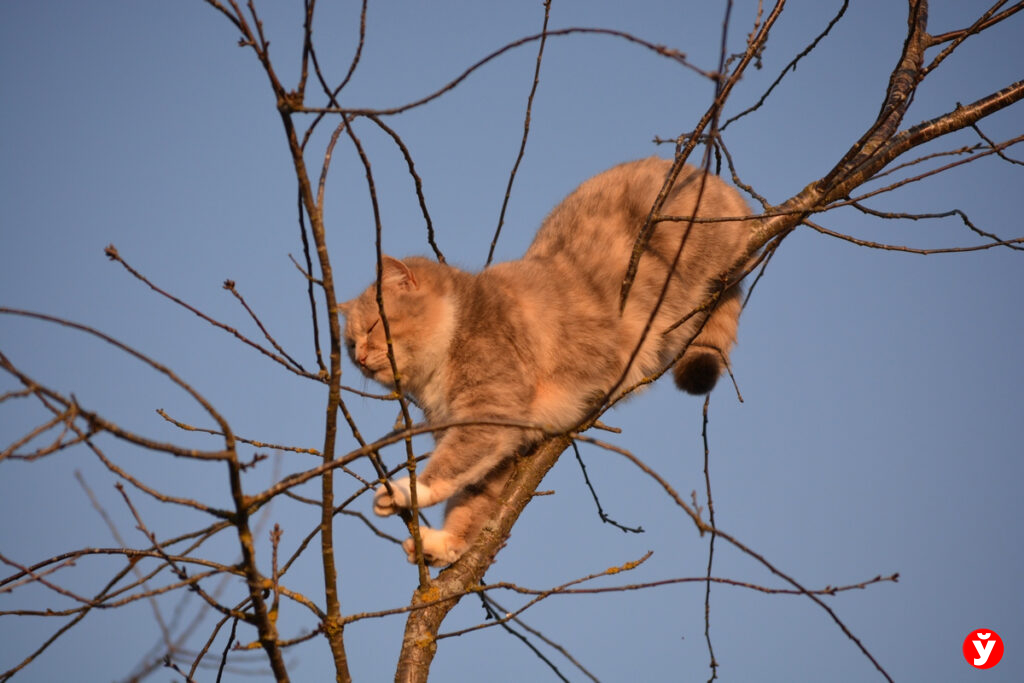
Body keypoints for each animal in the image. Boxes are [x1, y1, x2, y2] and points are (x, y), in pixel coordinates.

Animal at [339, 156, 749, 565]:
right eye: (349, 343)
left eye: (374, 325)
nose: (359, 356)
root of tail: (707, 175)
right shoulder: (499, 445)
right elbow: (472, 500)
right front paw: (444, 543)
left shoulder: (490, 411)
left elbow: (448, 466)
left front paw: (404, 492)